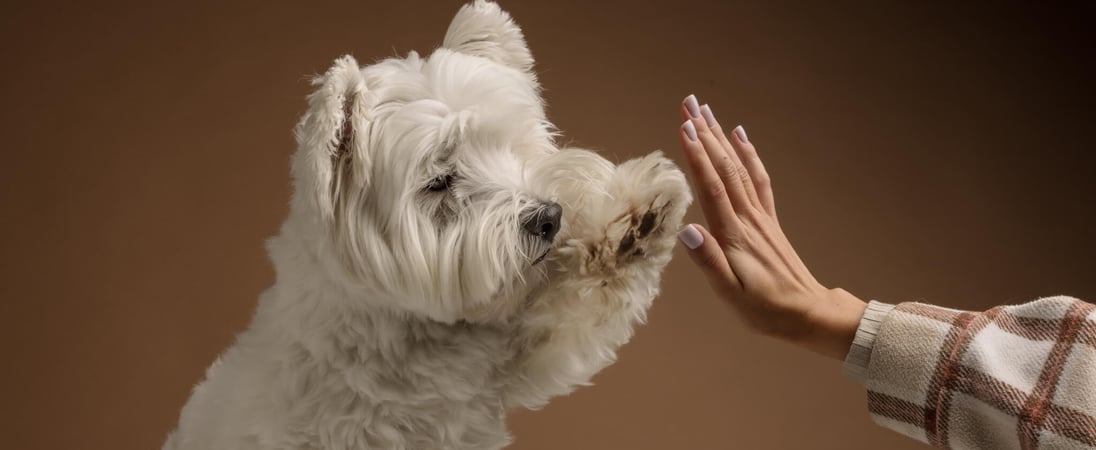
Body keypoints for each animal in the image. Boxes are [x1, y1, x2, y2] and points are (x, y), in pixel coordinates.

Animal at [164, 1, 683, 448]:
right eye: (438, 181)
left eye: (508, 146)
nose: (550, 218)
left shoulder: (513, 352)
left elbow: (574, 309)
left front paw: (637, 221)